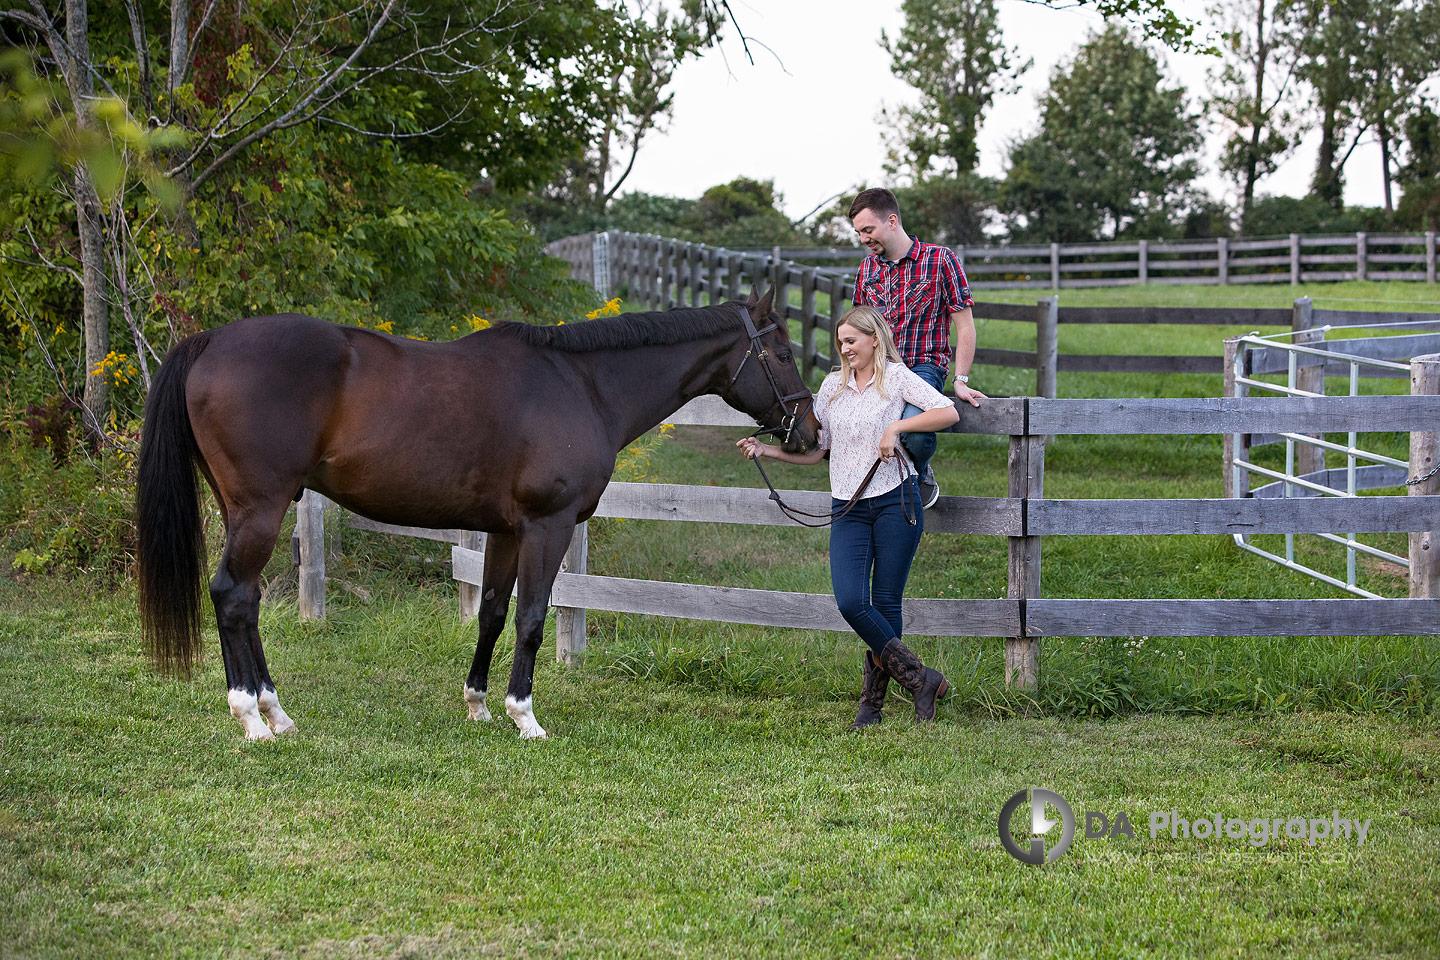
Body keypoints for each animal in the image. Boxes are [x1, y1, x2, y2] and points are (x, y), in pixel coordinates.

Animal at [135, 289, 823, 742]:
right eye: (782, 353)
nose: (810, 433)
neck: (583, 385)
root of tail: (210, 342)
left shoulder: (504, 531)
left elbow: (492, 612)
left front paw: (479, 704)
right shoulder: (548, 525)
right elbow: (532, 617)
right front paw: (525, 715)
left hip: (245, 510)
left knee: (246, 599)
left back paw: (278, 713)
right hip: (261, 508)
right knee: (231, 594)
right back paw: (251, 719)